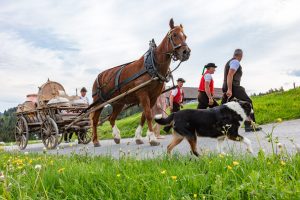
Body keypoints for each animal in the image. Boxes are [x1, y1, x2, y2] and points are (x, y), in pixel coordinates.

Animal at [90, 18, 191, 147]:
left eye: (185, 36)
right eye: (174, 35)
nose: (186, 52)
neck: (152, 65)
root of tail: (98, 76)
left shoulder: (153, 96)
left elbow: (144, 115)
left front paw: (139, 137)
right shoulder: (142, 93)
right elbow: (148, 114)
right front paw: (152, 138)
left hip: (119, 102)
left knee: (111, 118)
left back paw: (116, 136)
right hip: (99, 102)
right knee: (95, 120)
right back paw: (96, 140)